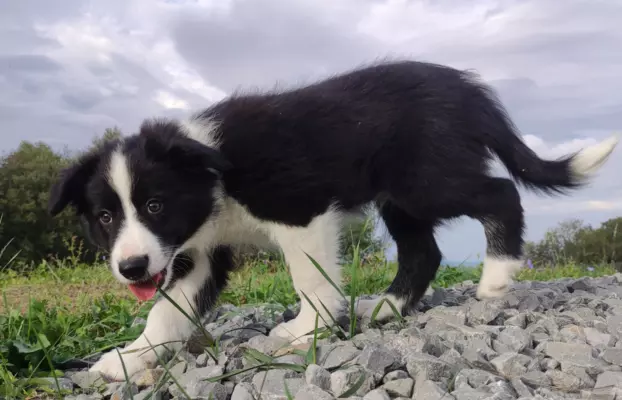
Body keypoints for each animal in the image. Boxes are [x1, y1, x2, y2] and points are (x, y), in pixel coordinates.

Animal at [48, 61, 620, 380]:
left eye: (155, 206)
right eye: (105, 216)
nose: (130, 268)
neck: (209, 167)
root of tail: (471, 92)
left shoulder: (298, 209)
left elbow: (308, 276)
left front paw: (309, 327)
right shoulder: (192, 252)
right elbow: (166, 311)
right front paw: (128, 359)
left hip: (424, 178)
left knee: (501, 194)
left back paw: (497, 275)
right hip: (401, 197)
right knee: (424, 250)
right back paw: (387, 308)